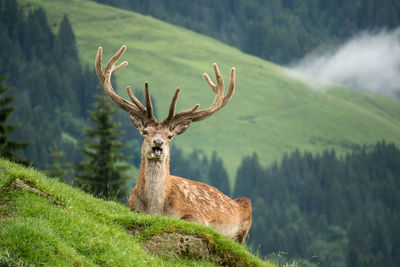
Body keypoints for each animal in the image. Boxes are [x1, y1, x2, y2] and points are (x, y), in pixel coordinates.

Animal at [95, 46, 252, 245]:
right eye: (145, 131)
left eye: (169, 136)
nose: (158, 143)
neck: (155, 209)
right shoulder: (131, 206)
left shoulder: (198, 215)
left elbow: (188, 219)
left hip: (246, 212)